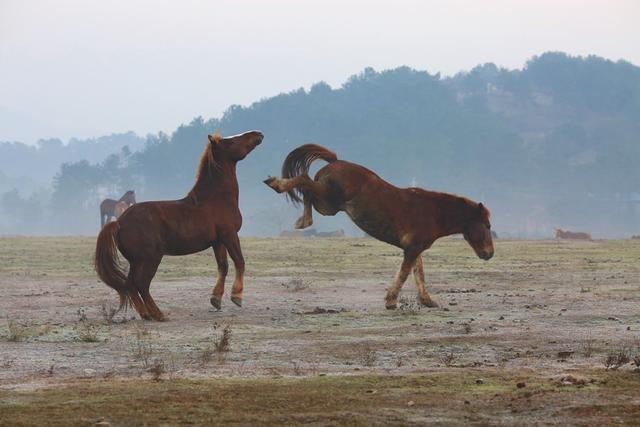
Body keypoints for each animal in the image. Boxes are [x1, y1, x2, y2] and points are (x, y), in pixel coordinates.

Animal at [94, 130, 262, 320]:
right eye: (231, 141)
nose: (257, 134)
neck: (216, 199)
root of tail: (120, 222)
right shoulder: (230, 235)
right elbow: (240, 261)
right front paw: (236, 296)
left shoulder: (218, 241)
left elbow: (223, 267)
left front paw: (216, 299)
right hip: (150, 259)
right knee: (142, 284)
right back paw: (158, 314)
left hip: (136, 261)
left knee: (131, 284)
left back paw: (146, 313)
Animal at [264, 145, 496, 310]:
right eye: (486, 225)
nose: (489, 254)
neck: (433, 212)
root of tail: (335, 161)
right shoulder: (412, 248)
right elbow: (404, 273)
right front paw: (391, 301)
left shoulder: (415, 248)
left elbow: (419, 273)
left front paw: (427, 301)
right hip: (328, 198)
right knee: (304, 180)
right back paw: (278, 186)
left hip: (328, 206)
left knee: (307, 192)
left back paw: (301, 220)